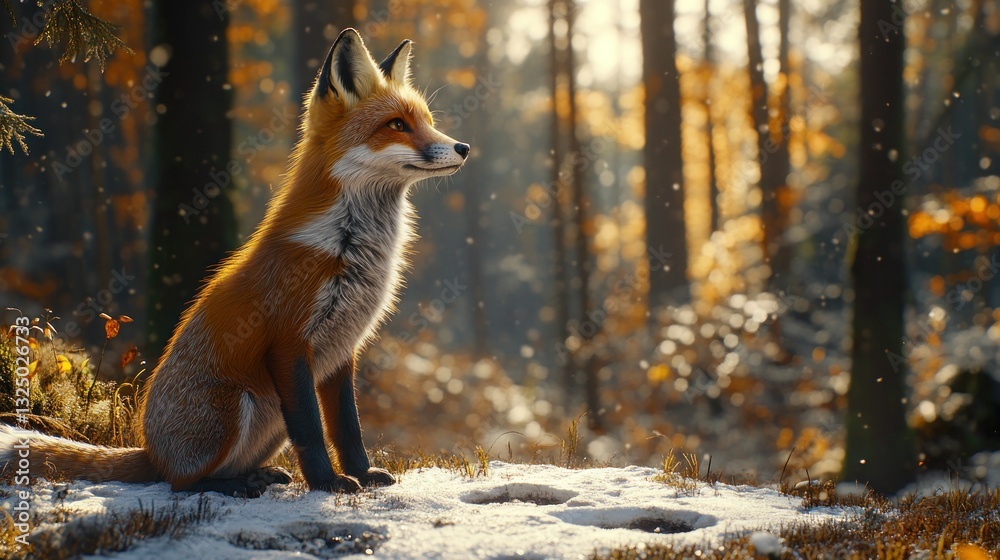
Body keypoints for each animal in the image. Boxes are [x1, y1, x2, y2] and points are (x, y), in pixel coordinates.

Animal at [0, 28, 469, 497]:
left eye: (426, 120)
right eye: (397, 125)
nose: (463, 146)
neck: (349, 245)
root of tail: (151, 451)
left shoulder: (342, 349)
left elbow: (347, 426)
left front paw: (363, 473)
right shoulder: (289, 344)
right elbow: (312, 430)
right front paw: (327, 483)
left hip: (270, 419)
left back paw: (257, 475)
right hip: (235, 405)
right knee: (182, 483)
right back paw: (230, 486)